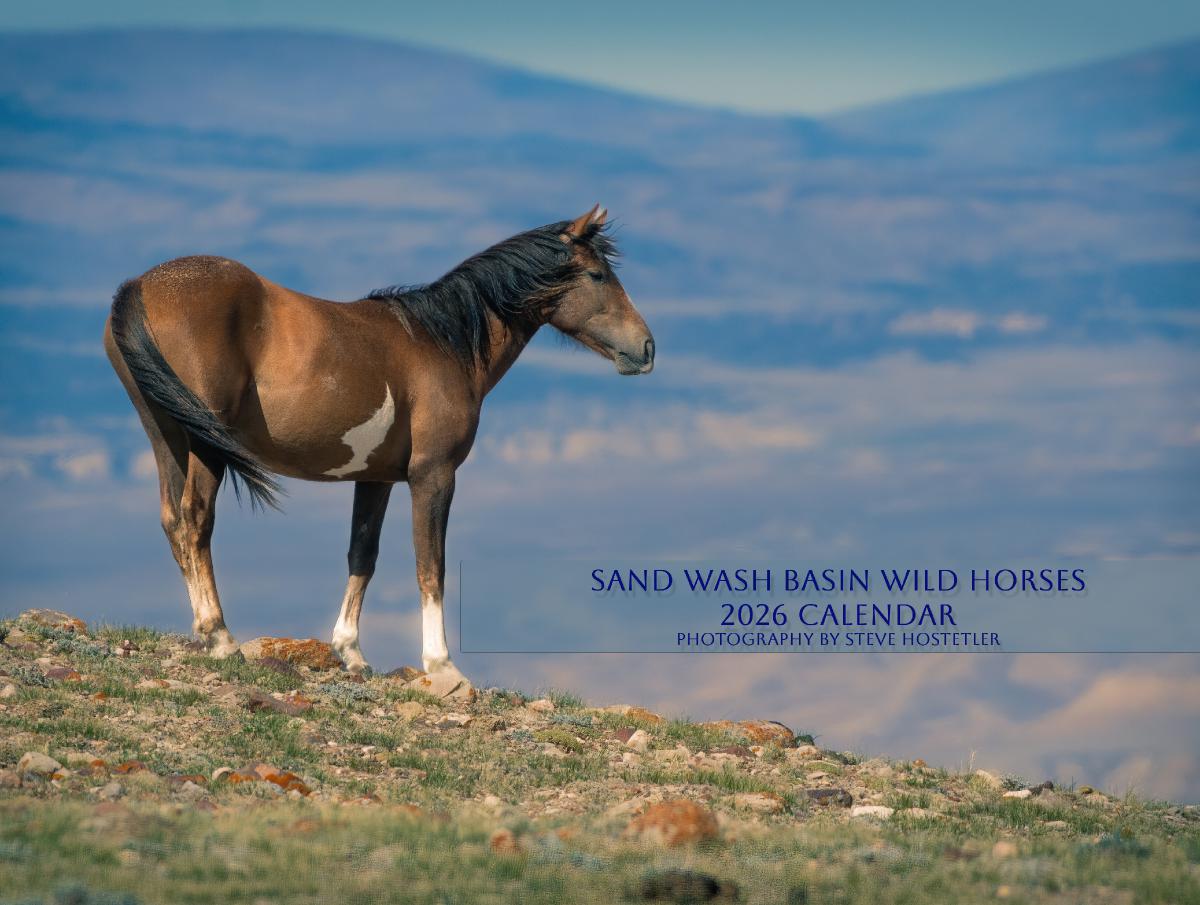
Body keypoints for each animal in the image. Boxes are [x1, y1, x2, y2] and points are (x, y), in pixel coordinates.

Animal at [103, 205, 654, 685]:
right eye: (597, 275)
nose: (646, 348)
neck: (444, 343)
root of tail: (139, 288)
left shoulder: (376, 478)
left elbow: (362, 555)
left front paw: (351, 652)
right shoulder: (434, 475)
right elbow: (430, 566)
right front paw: (441, 665)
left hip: (167, 435)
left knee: (173, 520)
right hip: (206, 445)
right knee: (195, 518)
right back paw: (219, 636)